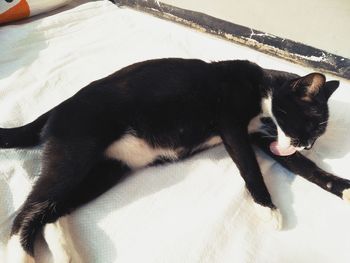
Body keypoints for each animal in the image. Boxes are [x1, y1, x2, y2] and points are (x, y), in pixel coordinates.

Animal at [3, 58, 350, 262]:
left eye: (319, 132)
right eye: (312, 125)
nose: (309, 145)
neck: (263, 87)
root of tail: (56, 108)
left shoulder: (264, 138)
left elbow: (305, 169)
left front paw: (342, 187)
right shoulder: (231, 124)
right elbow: (250, 168)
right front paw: (268, 207)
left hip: (103, 172)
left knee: (49, 212)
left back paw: (66, 252)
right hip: (74, 157)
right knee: (25, 213)